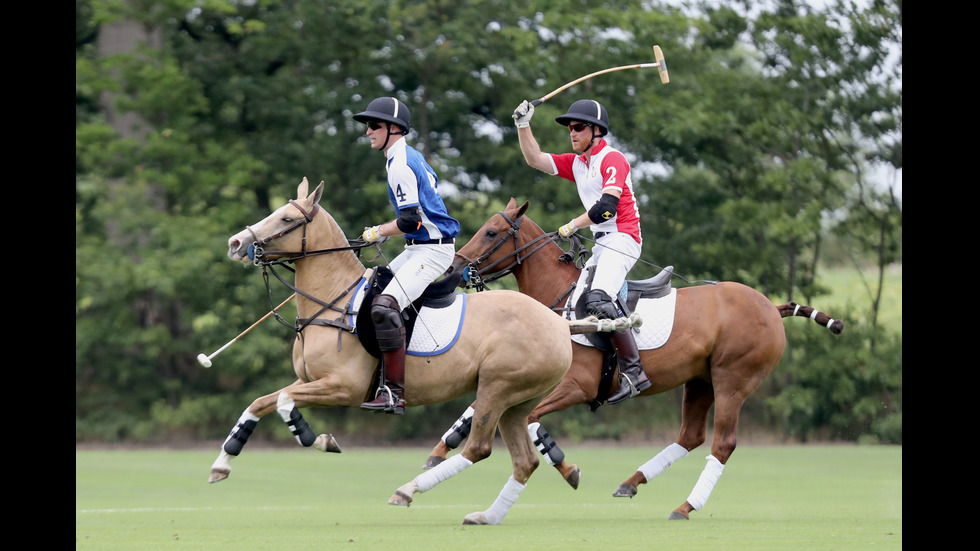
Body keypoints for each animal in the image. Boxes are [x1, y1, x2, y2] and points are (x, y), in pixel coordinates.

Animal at [210, 178, 640, 528]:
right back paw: (486, 516)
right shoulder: (310, 381)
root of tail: (559, 323)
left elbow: (283, 401)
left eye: (285, 218)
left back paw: (408, 490)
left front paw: (317, 438)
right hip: (519, 401)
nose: (234, 243)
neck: (334, 301)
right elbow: (260, 401)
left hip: (498, 387)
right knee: (524, 459)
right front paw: (221, 464)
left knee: (479, 448)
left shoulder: (343, 386)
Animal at [422, 198, 844, 520]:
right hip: (701, 379)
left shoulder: (576, 386)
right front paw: (439, 452)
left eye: (492, 232)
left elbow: (529, 419)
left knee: (722, 443)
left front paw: (565, 465)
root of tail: (771, 307)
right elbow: (481, 409)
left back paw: (685, 506)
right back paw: (631, 483)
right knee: (690, 436)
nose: (453, 269)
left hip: (733, 380)